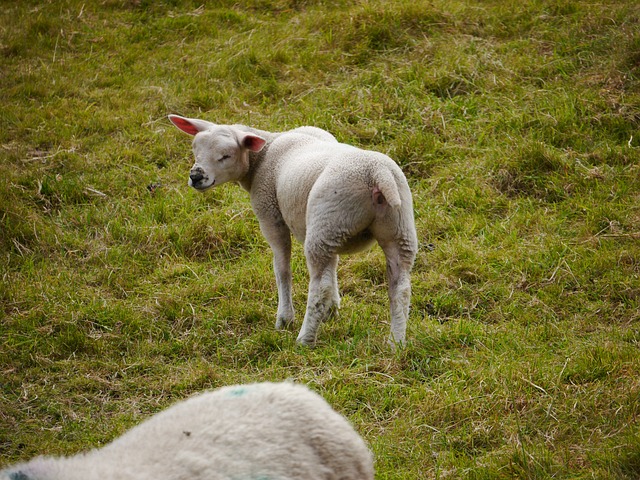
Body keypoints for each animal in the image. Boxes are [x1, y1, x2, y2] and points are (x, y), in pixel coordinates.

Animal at [170, 114, 420, 346]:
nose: (196, 176)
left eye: (225, 156)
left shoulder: (271, 215)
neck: (265, 151)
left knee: (319, 288)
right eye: (195, 149)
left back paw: (305, 338)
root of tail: (377, 173)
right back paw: (396, 343)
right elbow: (334, 267)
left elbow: (282, 269)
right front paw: (333, 311)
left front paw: (284, 318)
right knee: (400, 287)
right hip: (391, 228)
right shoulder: (331, 231)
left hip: (325, 227)